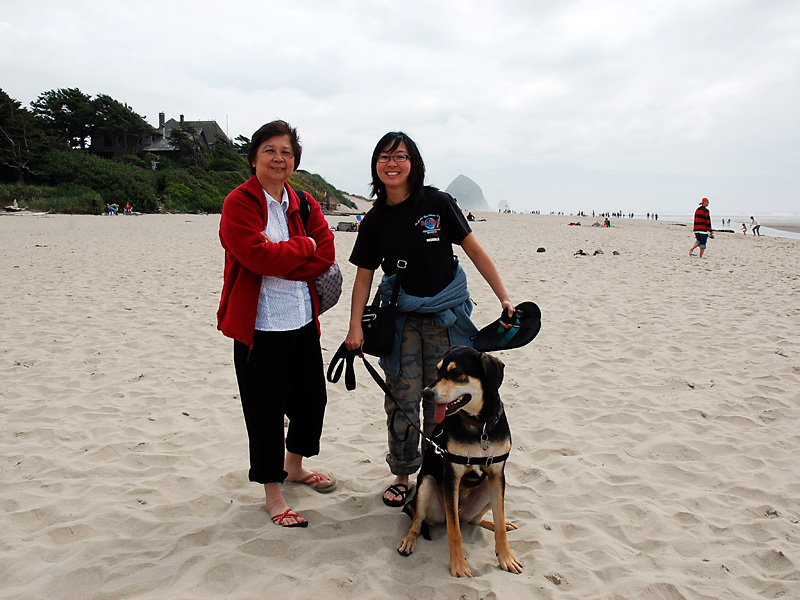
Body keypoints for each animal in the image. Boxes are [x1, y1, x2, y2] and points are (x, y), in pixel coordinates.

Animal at [396, 346, 520, 576]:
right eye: (438, 371)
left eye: (456, 373)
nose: (426, 393)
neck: (480, 426)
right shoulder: (452, 475)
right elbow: (454, 532)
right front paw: (459, 565)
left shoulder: (497, 475)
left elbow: (499, 522)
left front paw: (506, 556)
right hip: (426, 485)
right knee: (419, 520)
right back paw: (409, 540)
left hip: (488, 489)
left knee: (473, 520)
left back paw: (495, 523)